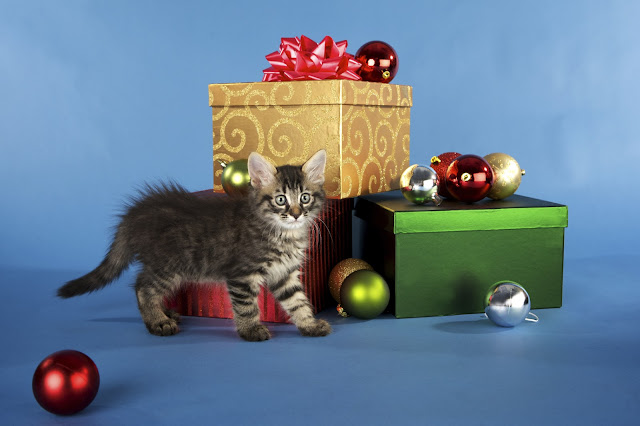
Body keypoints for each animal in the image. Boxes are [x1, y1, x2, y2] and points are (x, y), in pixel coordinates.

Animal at [57, 151, 332, 342]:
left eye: (305, 198)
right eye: (281, 200)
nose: (296, 214)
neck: (283, 233)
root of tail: (136, 212)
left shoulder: (284, 274)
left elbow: (297, 301)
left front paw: (309, 324)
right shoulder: (242, 274)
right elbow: (246, 306)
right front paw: (251, 330)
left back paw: (164, 313)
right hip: (167, 266)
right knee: (142, 287)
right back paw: (158, 321)